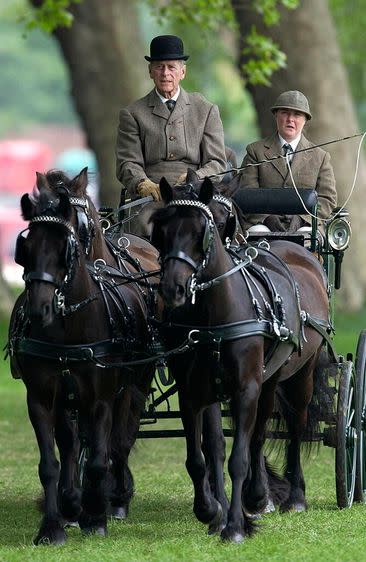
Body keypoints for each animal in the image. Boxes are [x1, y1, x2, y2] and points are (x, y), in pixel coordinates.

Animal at [7, 167, 159, 544]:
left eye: (67, 245)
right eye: (25, 246)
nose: (40, 308)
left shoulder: (99, 396)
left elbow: (99, 456)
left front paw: (95, 517)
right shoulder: (43, 397)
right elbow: (53, 461)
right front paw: (55, 523)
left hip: (134, 383)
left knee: (120, 439)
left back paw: (114, 499)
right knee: (77, 443)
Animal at [150, 177, 330, 540]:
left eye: (203, 230)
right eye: (160, 230)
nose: (173, 288)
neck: (213, 318)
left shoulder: (245, 388)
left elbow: (238, 459)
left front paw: (234, 526)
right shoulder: (195, 392)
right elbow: (205, 454)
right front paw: (211, 511)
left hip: (299, 374)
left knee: (293, 425)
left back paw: (292, 497)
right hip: (270, 378)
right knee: (258, 435)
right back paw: (258, 496)